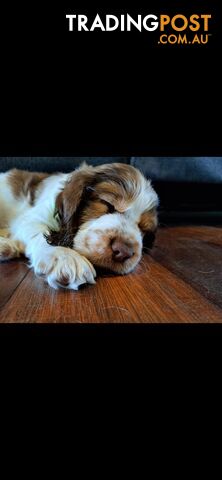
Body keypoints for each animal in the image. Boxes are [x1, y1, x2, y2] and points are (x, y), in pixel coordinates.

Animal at [0, 163, 160, 288]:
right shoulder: (31, 217)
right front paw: (64, 256)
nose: (123, 252)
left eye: (143, 229)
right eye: (108, 204)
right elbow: (40, 231)